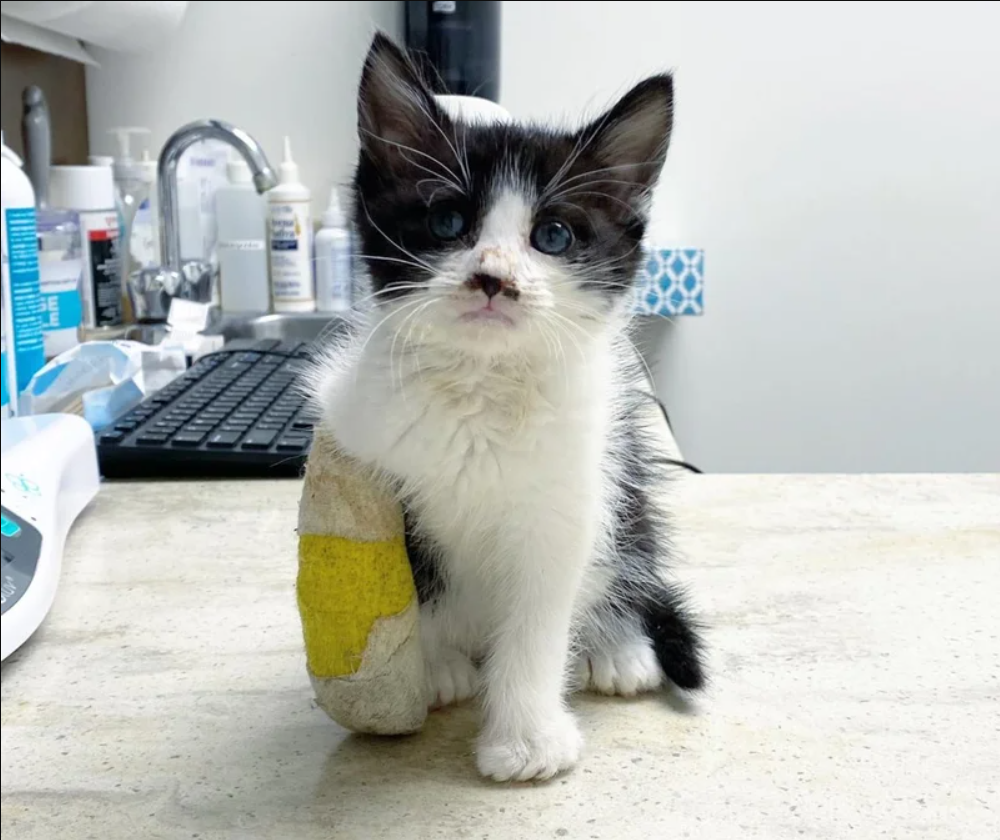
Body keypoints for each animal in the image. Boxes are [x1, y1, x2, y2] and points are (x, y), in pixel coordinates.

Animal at [308, 32, 708, 780]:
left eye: (553, 236)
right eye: (446, 221)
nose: (493, 278)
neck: (481, 386)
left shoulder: (567, 499)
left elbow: (539, 619)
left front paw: (525, 740)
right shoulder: (377, 467)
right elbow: (416, 577)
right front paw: (433, 666)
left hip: (626, 488)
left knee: (628, 560)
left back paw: (618, 647)